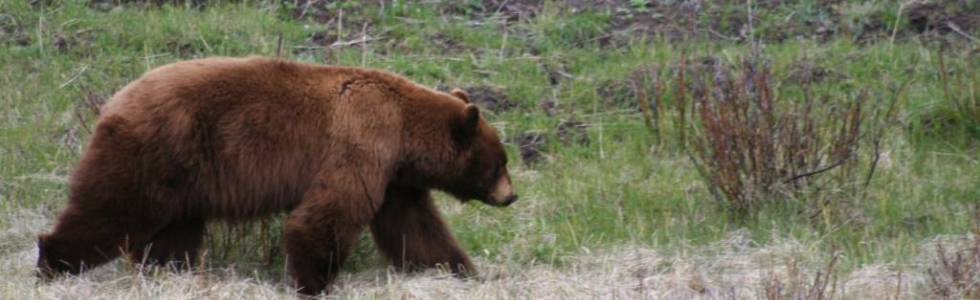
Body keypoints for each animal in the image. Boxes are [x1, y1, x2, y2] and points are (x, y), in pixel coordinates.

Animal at [34, 56, 516, 296]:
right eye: (500, 163)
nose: (511, 196)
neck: (403, 131)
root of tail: (114, 101)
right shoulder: (363, 142)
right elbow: (327, 214)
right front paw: (313, 283)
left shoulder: (397, 179)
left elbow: (416, 229)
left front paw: (459, 272)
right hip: (153, 153)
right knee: (110, 211)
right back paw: (52, 263)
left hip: (183, 179)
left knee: (173, 234)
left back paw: (170, 274)